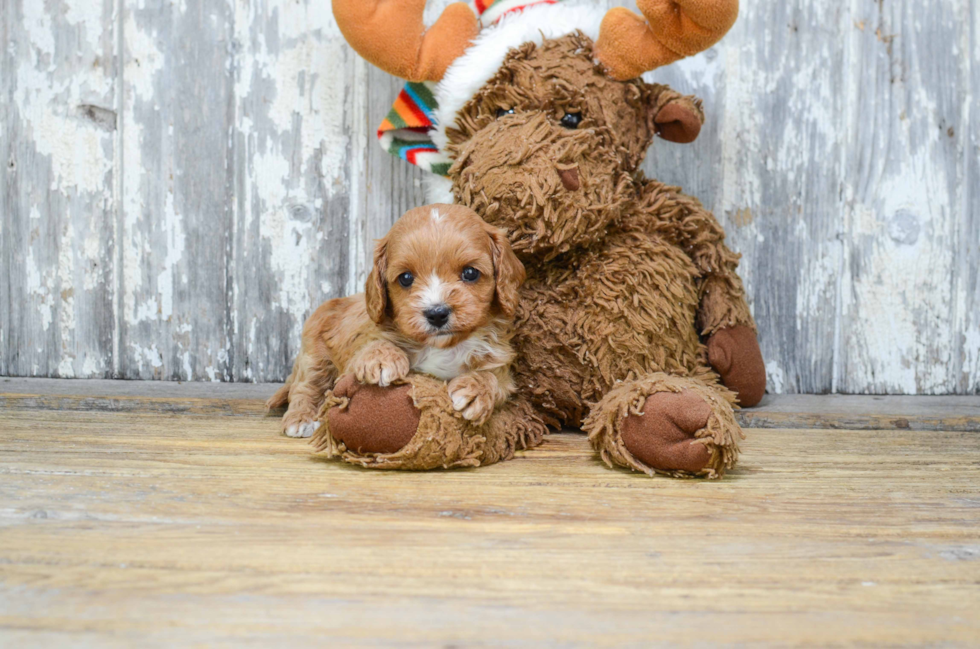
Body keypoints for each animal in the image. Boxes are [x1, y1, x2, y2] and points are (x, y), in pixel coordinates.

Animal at [268, 202, 524, 436]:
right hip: (314, 354)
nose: (437, 313)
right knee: (306, 385)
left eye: (470, 273)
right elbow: (372, 345)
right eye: (406, 278)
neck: (441, 346)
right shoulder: (357, 349)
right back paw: (301, 418)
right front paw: (382, 359)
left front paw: (475, 391)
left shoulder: (499, 362)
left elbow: (494, 378)